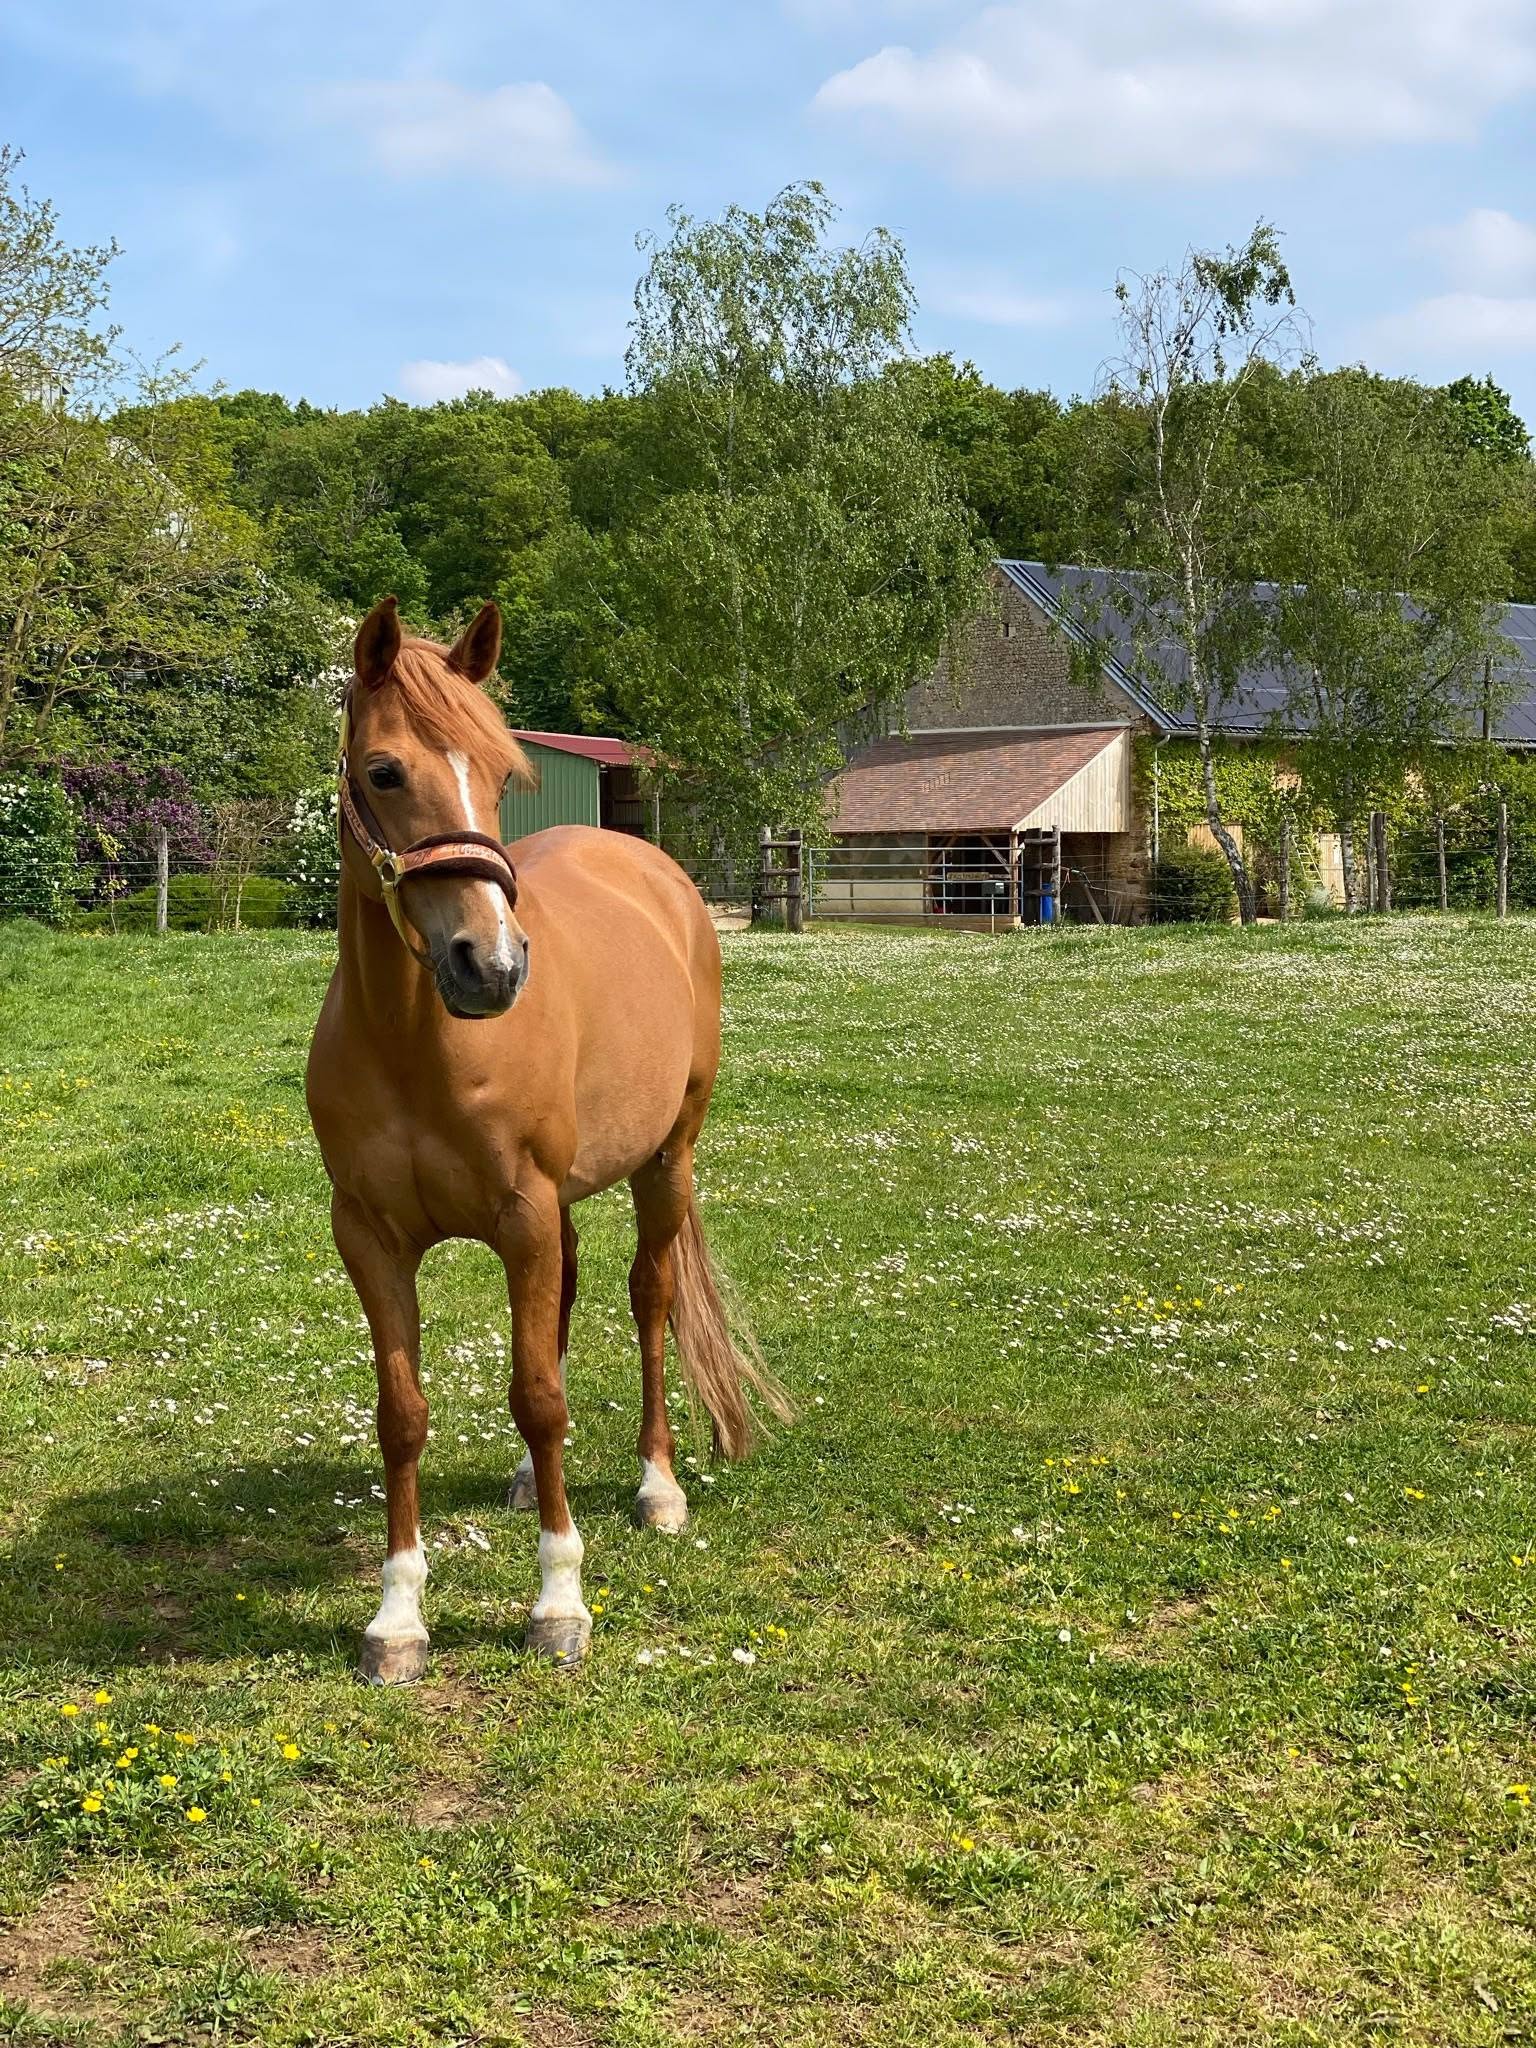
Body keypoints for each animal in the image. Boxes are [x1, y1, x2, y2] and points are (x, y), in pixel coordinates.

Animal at [305, 596, 788, 1684]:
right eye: (383, 771)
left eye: (500, 774)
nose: (491, 965)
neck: (417, 1043)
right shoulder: (369, 1237)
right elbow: (402, 1413)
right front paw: (397, 1618)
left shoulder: (520, 1214)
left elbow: (540, 1394)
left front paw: (560, 1600)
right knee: (566, 1297)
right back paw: (534, 1482)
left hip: (665, 1162)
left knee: (649, 1299)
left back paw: (656, 1485)